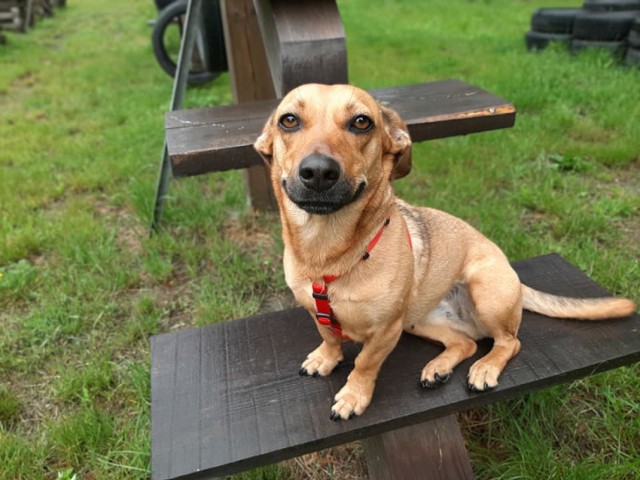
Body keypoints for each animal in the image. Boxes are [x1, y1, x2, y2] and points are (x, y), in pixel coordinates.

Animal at [252, 84, 636, 422]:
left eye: (362, 122)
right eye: (289, 120)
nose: (318, 171)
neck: (327, 251)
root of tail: (515, 281)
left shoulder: (386, 331)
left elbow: (364, 364)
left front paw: (353, 396)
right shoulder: (318, 313)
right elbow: (330, 337)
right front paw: (326, 358)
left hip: (484, 293)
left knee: (509, 342)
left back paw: (485, 368)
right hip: (420, 320)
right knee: (465, 343)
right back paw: (438, 368)